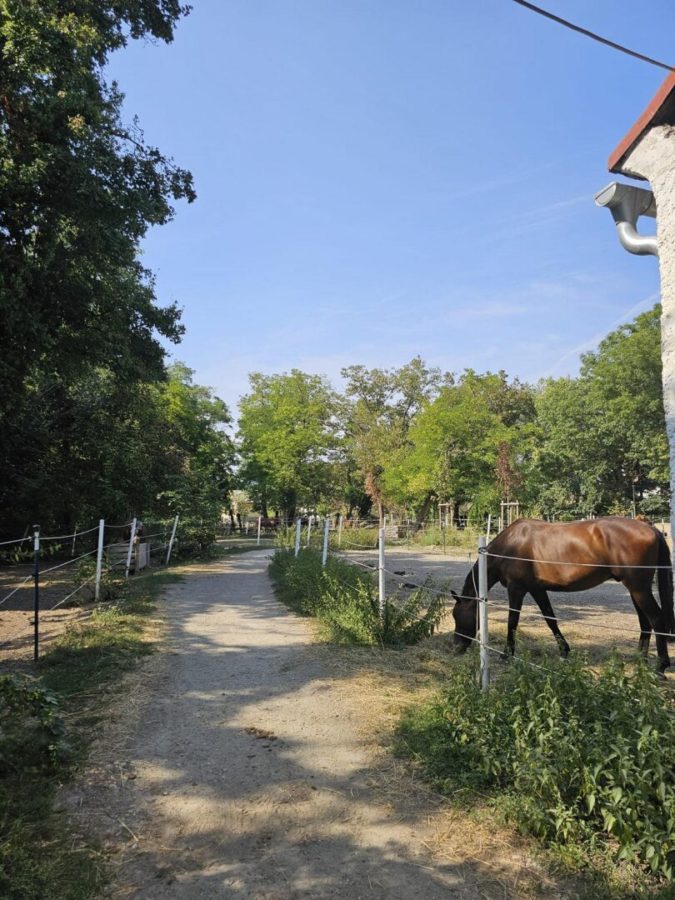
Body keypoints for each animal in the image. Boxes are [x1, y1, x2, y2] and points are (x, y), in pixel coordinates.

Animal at [452, 516, 675, 672]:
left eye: (457, 616)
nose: (457, 647)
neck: (510, 545)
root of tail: (651, 528)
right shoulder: (537, 589)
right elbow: (550, 618)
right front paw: (564, 650)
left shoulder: (517, 589)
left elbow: (512, 621)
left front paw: (507, 654)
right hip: (636, 589)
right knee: (645, 622)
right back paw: (640, 660)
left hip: (639, 588)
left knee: (656, 619)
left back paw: (660, 666)